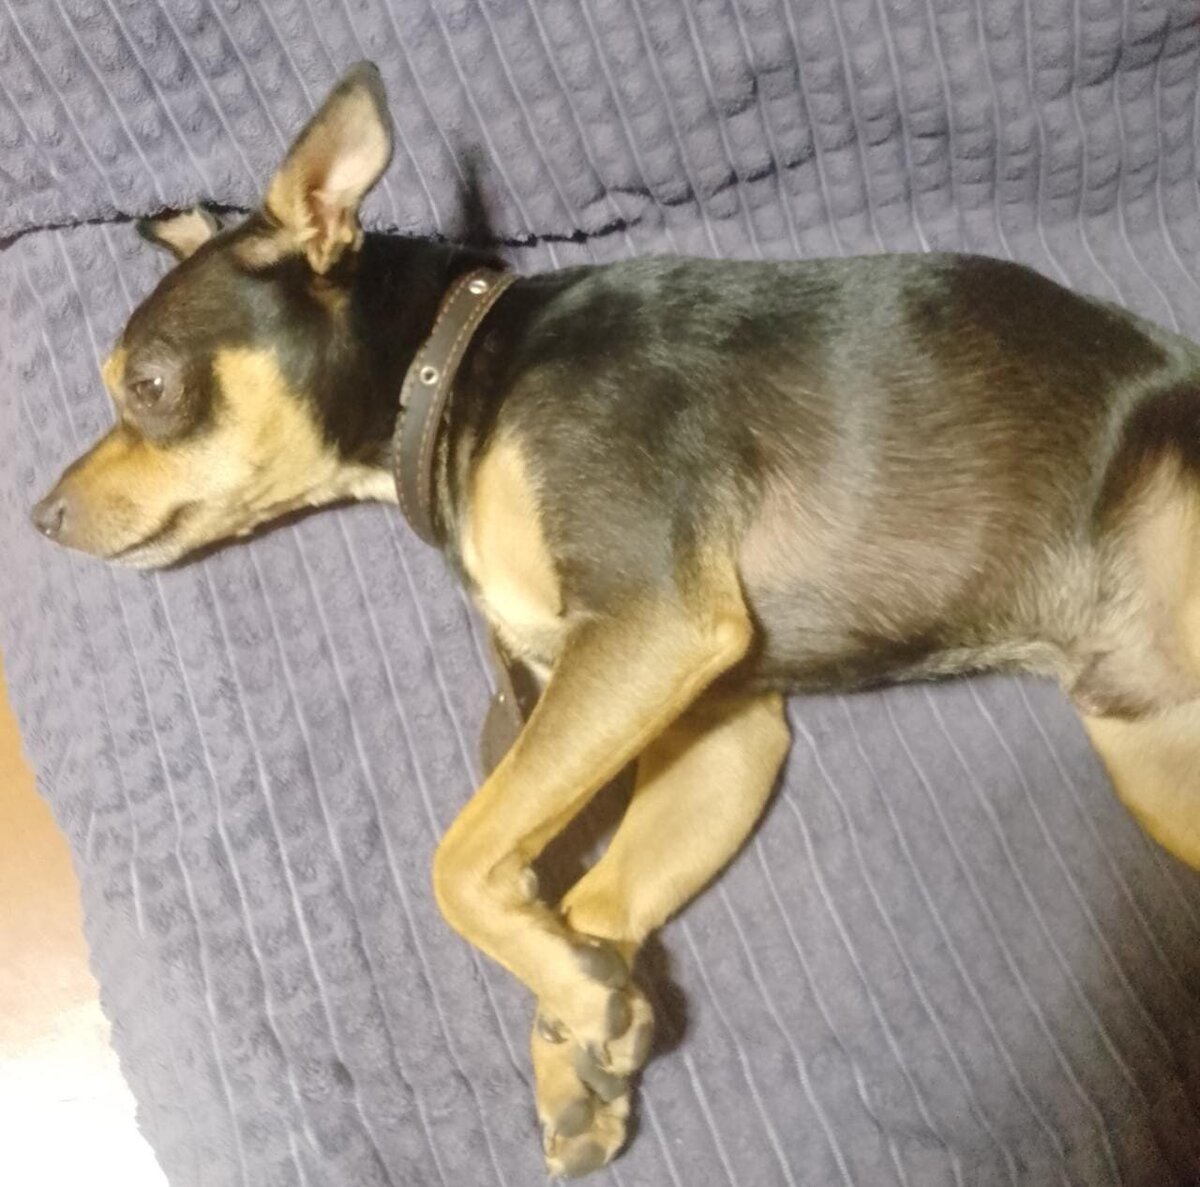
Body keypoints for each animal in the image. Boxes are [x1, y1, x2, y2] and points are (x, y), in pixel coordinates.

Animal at [31, 62, 1200, 1177]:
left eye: (149, 385)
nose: (40, 516)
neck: (452, 369)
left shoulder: (654, 624)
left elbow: (459, 858)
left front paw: (580, 1005)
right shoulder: (724, 726)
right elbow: (588, 895)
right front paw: (580, 1034)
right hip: (1153, 756)